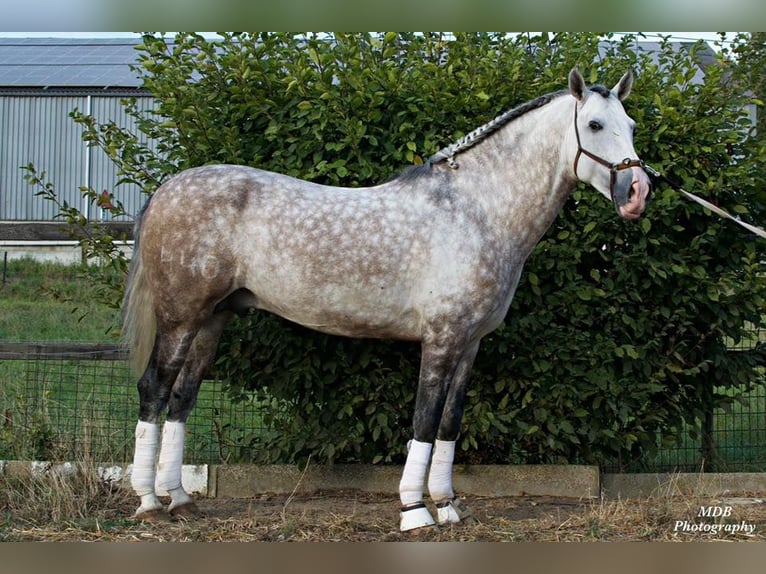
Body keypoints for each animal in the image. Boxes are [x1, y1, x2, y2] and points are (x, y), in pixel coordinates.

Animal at [122, 68, 652, 531]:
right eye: (594, 124)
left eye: (630, 125)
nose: (637, 192)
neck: (476, 211)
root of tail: (167, 189)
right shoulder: (440, 339)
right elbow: (424, 418)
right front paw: (414, 511)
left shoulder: (470, 344)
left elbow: (449, 422)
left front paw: (448, 506)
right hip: (180, 318)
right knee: (154, 390)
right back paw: (148, 503)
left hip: (212, 320)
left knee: (182, 397)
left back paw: (180, 500)